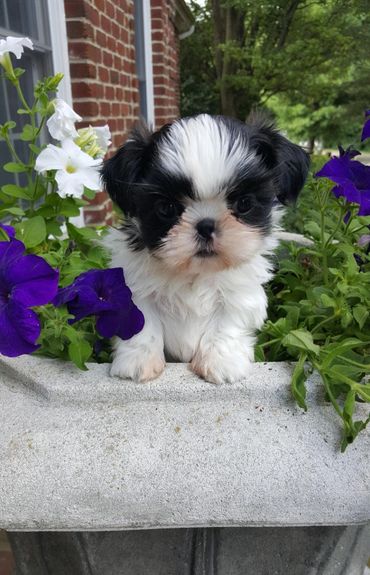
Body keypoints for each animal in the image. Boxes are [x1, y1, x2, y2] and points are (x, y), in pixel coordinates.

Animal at [101, 113, 310, 384]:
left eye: (244, 204)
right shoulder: (135, 287)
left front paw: (222, 362)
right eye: (167, 208)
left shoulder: (240, 294)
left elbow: (228, 324)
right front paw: (138, 360)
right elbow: (142, 322)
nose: (206, 225)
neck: (196, 272)